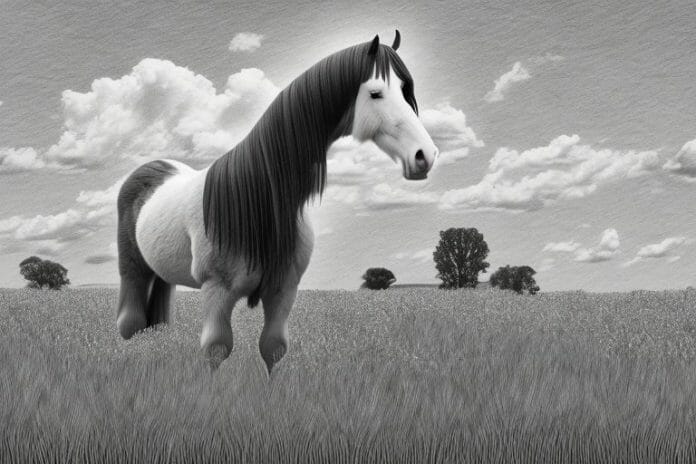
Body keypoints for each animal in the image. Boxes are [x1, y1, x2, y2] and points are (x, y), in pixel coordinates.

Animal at [115, 31, 438, 372]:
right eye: (376, 93)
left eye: (405, 91)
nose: (425, 156)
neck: (258, 199)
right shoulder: (217, 291)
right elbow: (216, 349)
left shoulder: (284, 290)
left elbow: (273, 348)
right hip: (133, 273)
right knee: (130, 324)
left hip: (161, 275)